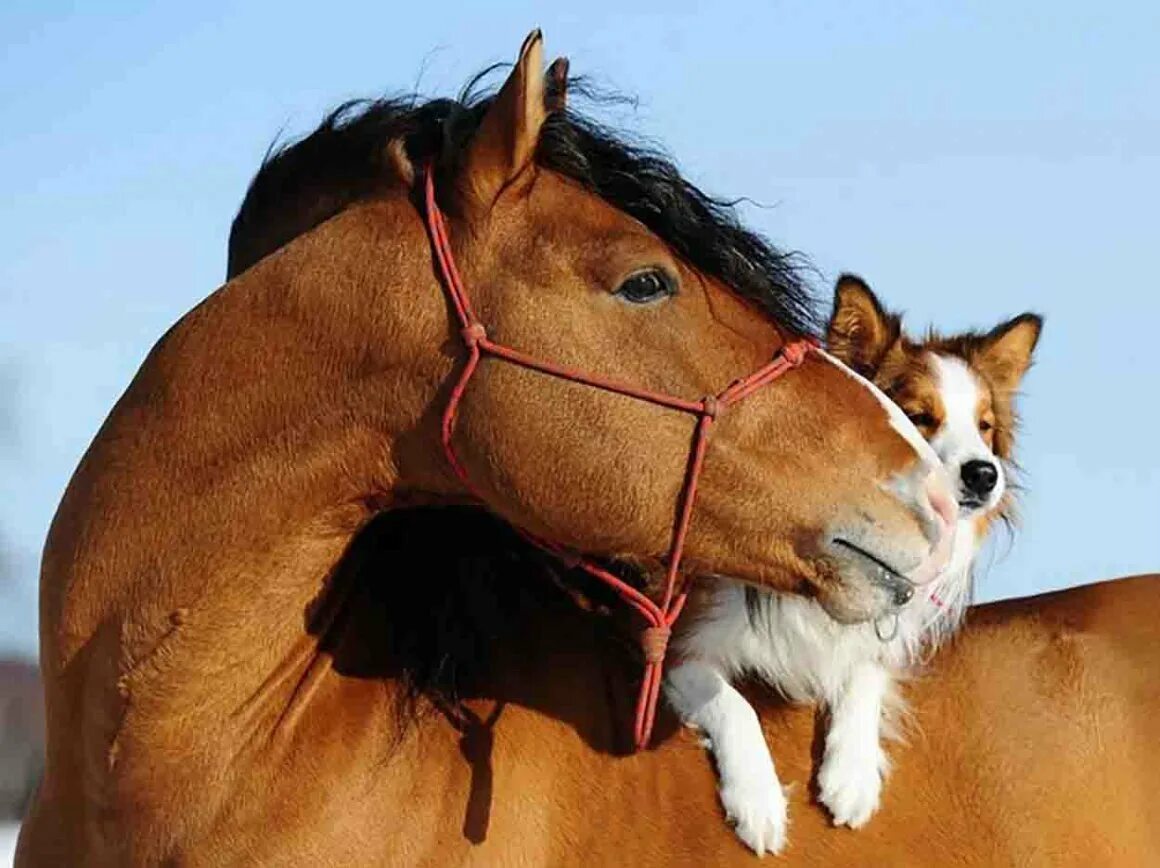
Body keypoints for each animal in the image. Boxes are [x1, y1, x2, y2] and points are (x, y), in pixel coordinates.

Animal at [668, 276, 1048, 854]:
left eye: (984, 427)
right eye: (919, 416)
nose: (985, 474)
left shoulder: (880, 637)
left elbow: (868, 669)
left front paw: (852, 773)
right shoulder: (680, 646)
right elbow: (732, 702)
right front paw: (757, 801)